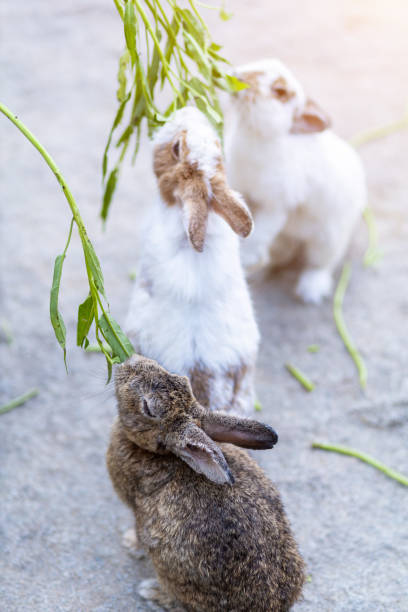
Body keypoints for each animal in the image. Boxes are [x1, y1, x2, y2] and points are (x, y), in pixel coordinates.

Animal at [107, 354, 304, 612]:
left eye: (148, 408)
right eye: (181, 379)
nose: (129, 361)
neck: (165, 454)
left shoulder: (139, 513)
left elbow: (139, 536)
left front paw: (130, 543)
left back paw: (151, 591)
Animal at [225, 56, 364, 304]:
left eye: (279, 92)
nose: (237, 76)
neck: (255, 135)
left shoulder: (277, 205)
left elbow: (260, 230)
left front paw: (247, 256)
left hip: (328, 241)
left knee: (320, 264)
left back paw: (310, 290)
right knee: (281, 257)